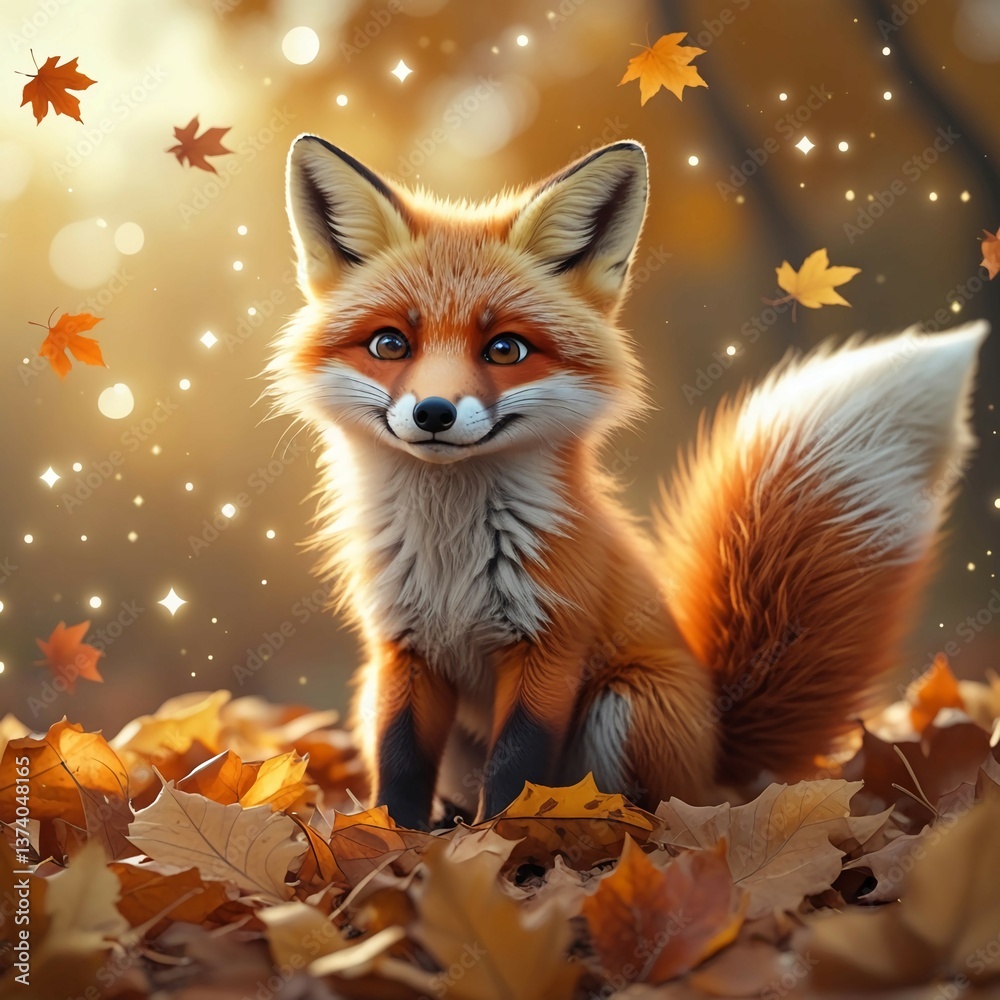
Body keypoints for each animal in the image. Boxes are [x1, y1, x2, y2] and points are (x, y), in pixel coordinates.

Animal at [269, 133, 988, 830]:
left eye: (505, 349)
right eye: (390, 344)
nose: (434, 413)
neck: (451, 558)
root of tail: (714, 750)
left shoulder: (549, 642)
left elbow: (516, 767)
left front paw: (500, 844)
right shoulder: (402, 648)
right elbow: (400, 763)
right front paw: (394, 843)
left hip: (626, 703)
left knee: (650, 813)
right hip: (374, 693)